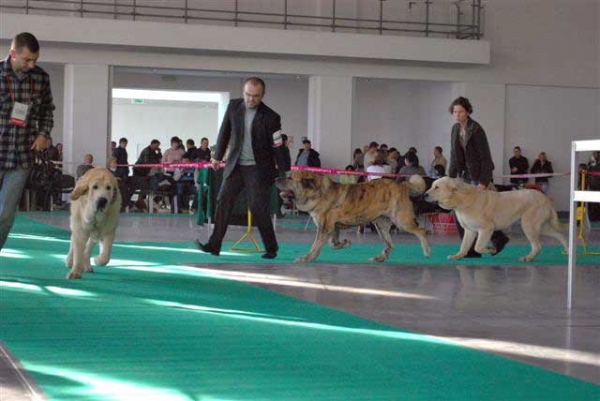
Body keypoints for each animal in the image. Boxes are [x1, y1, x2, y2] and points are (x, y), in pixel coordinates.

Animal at [422, 177, 568, 260]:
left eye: (436, 187)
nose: (424, 195)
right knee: (559, 234)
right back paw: (568, 249)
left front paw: (491, 250)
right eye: (432, 186)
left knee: (538, 246)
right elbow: (464, 245)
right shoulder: (470, 230)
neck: (461, 200)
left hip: (528, 224)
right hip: (540, 226)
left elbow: (478, 246)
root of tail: (546, 199)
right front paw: (458, 256)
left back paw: (528, 258)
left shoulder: (486, 229)